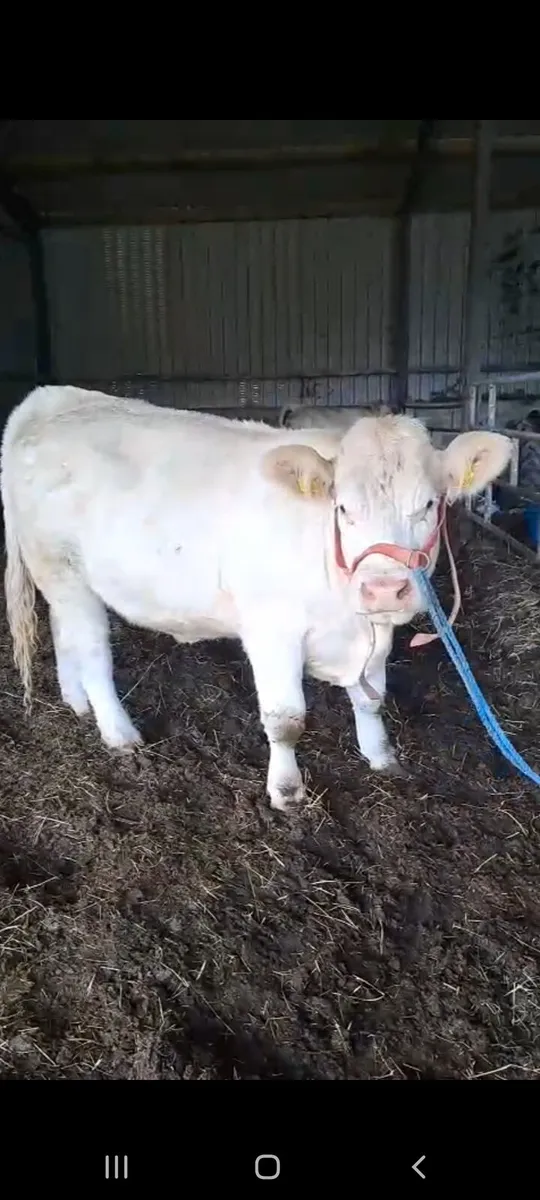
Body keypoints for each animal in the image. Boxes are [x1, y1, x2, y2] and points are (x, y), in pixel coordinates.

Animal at [1, 385, 511, 811]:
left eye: (429, 504)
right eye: (343, 507)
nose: (384, 587)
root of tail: (48, 400)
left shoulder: (372, 629)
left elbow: (370, 699)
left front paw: (381, 757)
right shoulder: (272, 630)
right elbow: (286, 720)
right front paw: (286, 792)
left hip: (63, 578)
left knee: (64, 632)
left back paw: (76, 702)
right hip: (63, 568)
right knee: (91, 651)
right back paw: (119, 734)